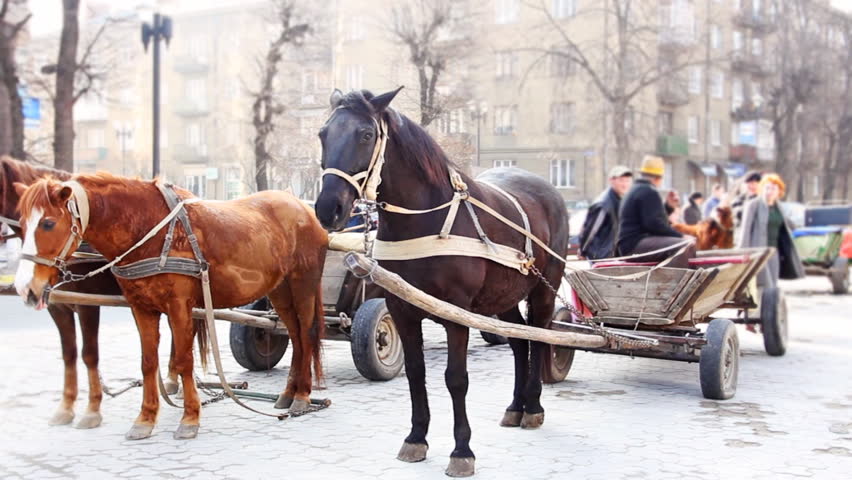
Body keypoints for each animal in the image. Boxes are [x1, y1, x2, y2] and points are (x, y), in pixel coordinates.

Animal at [1, 156, 129, 429]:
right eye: (23, 223)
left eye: (48, 223)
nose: (23, 287)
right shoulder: (57, 306)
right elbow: (68, 354)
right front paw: (66, 406)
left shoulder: (88, 305)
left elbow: (89, 354)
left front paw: (92, 410)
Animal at [14, 173, 327, 440]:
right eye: (22, 224)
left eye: (48, 223)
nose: (24, 288)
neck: (150, 231)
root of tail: (306, 211)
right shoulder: (141, 308)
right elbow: (148, 362)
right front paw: (145, 419)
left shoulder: (178, 306)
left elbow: (184, 359)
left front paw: (189, 418)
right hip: (279, 291)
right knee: (295, 337)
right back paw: (288, 393)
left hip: (302, 285)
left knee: (306, 335)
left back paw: (302, 396)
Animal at [314, 89, 570, 477]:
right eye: (323, 134)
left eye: (366, 134)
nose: (328, 209)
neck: (425, 219)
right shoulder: (401, 309)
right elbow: (415, 373)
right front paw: (416, 438)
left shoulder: (456, 312)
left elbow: (456, 378)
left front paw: (462, 450)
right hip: (503, 297)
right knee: (518, 343)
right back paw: (516, 407)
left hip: (543, 289)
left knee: (540, 339)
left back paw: (534, 408)